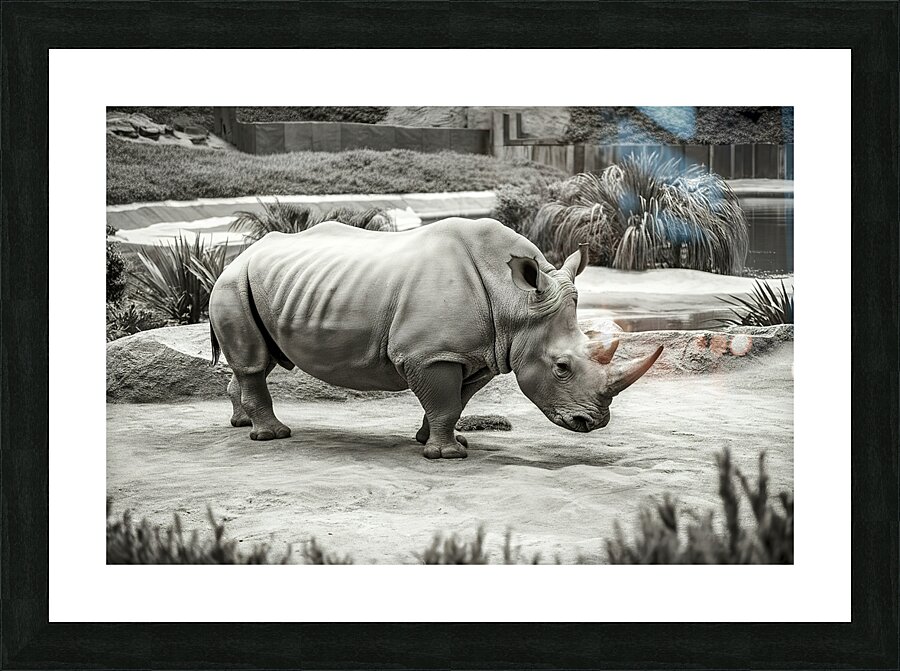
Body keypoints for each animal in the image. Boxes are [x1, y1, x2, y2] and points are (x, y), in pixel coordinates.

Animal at [208, 217, 662, 459]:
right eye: (562, 368)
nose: (593, 423)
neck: (515, 302)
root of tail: (239, 255)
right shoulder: (429, 354)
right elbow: (443, 401)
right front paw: (448, 455)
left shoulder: (481, 353)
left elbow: (456, 401)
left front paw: (438, 440)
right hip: (232, 283)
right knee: (254, 363)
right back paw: (272, 436)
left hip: (260, 283)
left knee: (255, 361)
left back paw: (241, 423)